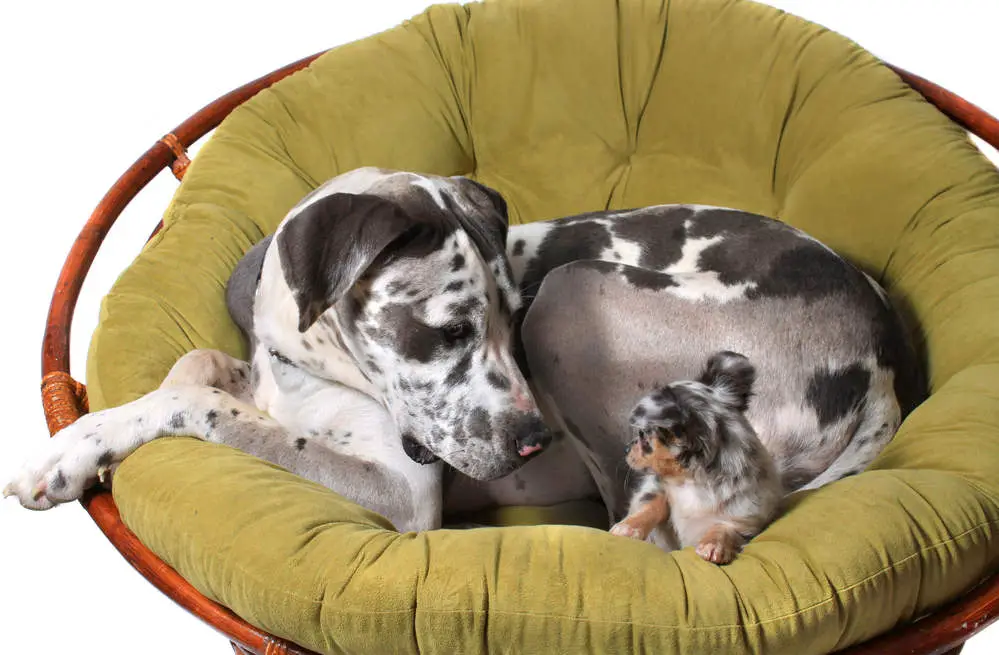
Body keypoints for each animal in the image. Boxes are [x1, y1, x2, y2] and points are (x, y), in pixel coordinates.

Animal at [608, 354, 780, 564]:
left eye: (643, 436)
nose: (625, 449)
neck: (693, 483)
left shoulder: (748, 517)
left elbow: (726, 527)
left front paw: (714, 544)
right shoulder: (657, 489)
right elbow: (654, 504)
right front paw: (629, 527)